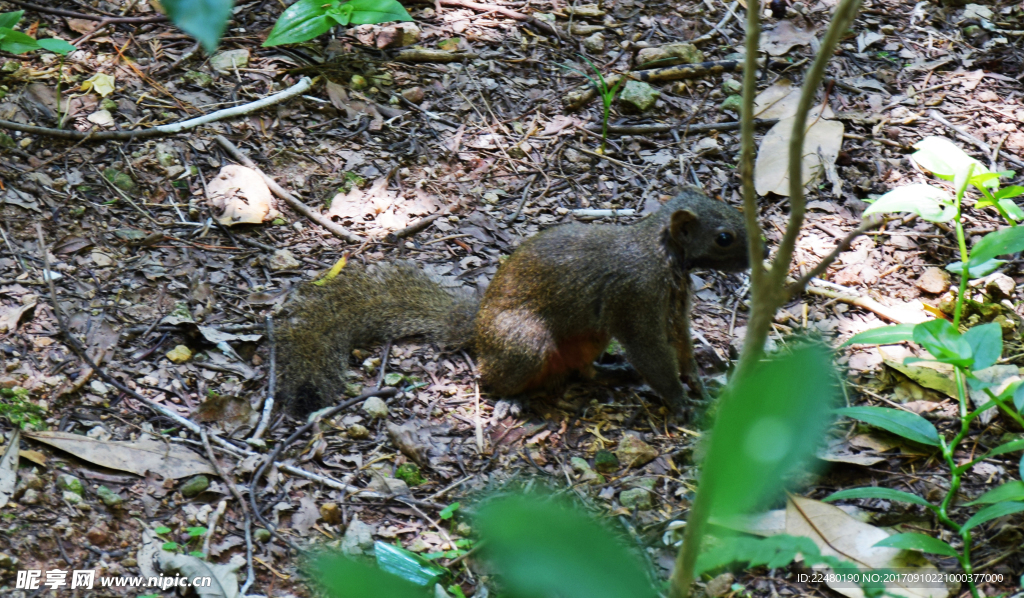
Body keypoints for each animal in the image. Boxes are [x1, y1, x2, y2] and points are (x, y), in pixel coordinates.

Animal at [276, 186, 757, 415]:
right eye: (724, 237)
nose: (761, 252)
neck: (664, 255)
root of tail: (478, 326)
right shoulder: (637, 299)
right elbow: (653, 354)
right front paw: (682, 403)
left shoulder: (674, 305)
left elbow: (682, 345)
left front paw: (700, 384)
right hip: (525, 341)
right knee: (491, 376)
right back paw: (515, 397)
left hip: (590, 335)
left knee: (580, 370)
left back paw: (609, 373)